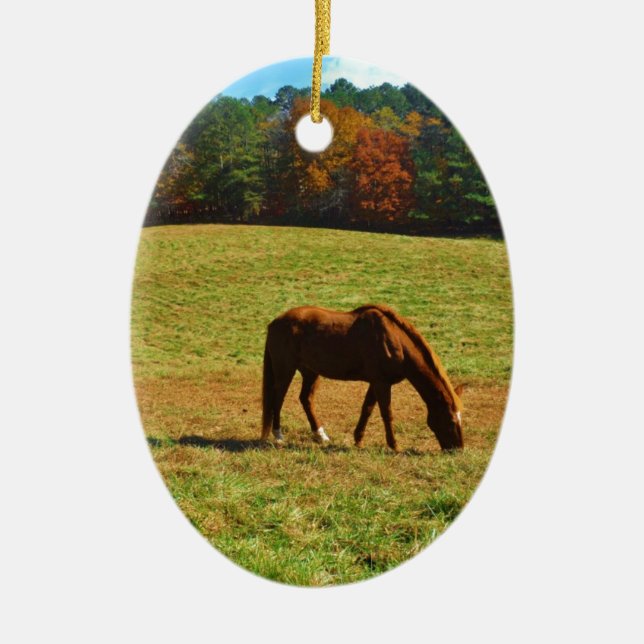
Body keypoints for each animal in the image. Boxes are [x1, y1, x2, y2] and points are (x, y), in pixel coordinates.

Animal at [260, 304, 464, 452]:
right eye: (451, 420)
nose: (458, 449)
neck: (394, 341)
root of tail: (274, 323)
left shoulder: (375, 383)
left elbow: (367, 409)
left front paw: (358, 439)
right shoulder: (382, 383)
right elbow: (386, 413)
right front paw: (394, 445)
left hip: (310, 372)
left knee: (306, 399)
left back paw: (320, 435)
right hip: (285, 370)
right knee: (277, 400)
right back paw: (278, 436)